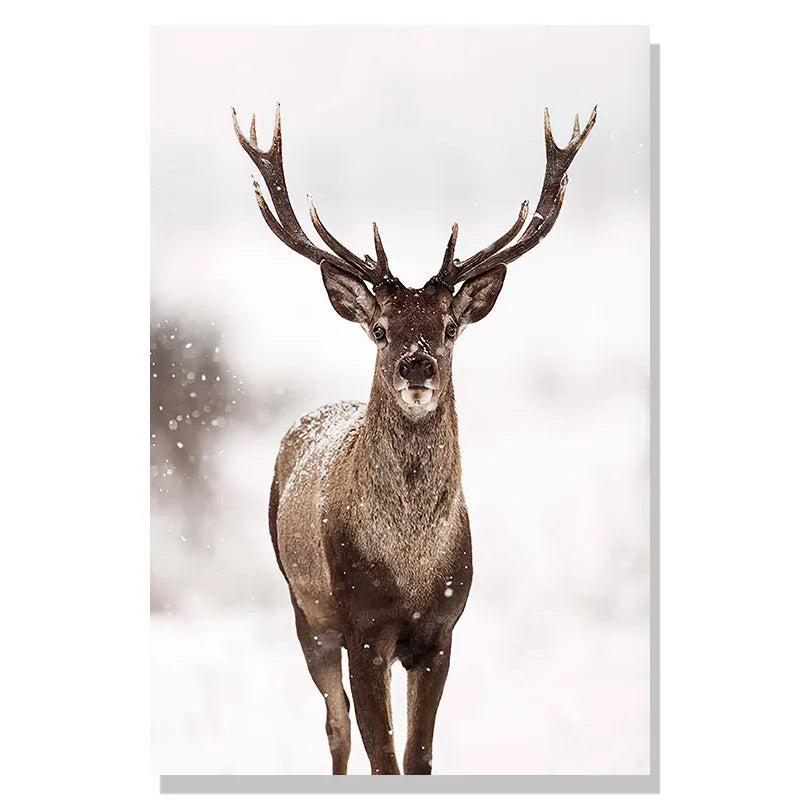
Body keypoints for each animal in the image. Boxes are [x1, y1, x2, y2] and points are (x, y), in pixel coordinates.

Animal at [232, 102, 595, 775]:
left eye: (449, 326)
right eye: (380, 328)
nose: (417, 364)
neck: (409, 566)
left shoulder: (441, 630)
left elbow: (419, 756)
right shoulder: (362, 626)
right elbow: (384, 757)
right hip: (304, 607)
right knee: (336, 724)